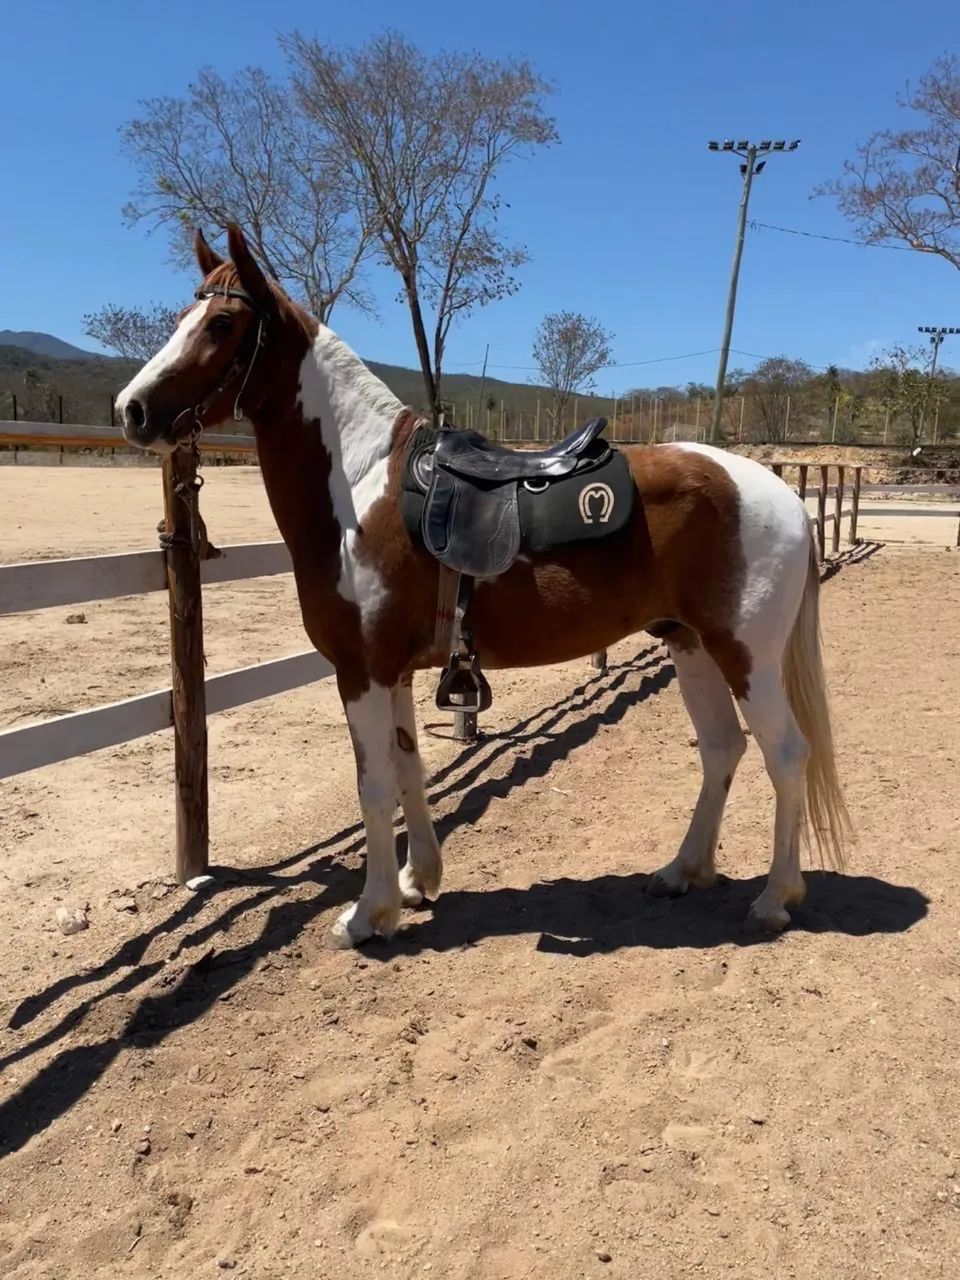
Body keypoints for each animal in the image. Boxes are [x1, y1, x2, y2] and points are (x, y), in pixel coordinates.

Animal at [115, 223, 851, 949]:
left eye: (222, 323)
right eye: (183, 318)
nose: (132, 410)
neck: (358, 485)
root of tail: (782, 494)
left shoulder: (362, 670)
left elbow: (373, 786)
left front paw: (367, 914)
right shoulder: (395, 672)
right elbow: (409, 770)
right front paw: (416, 884)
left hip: (745, 655)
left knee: (787, 754)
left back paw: (774, 899)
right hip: (689, 644)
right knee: (723, 747)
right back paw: (683, 871)